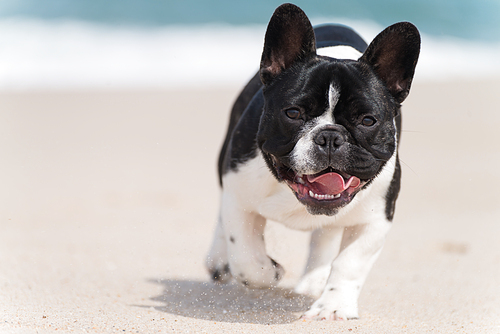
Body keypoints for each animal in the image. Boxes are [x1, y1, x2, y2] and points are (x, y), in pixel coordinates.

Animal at [205, 3, 420, 320]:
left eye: (368, 121)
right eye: (293, 113)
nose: (329, 136)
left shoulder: (376, 219)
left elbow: (350, 262)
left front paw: (334, 305)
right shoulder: (238, 196)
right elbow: (246, 258)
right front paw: (270, 272)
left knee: (325, 239)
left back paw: (313, 282)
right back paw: (218, 260)